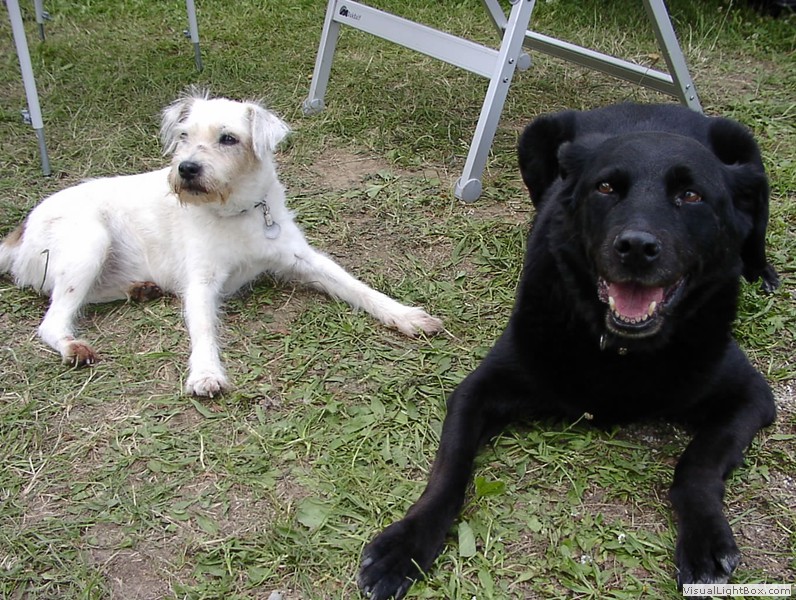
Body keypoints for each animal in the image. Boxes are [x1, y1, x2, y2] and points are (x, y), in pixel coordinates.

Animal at [0, 90, 442, 397]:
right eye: (183, 136)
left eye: (228, 139)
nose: (186, 169)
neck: (238, 211)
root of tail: (18, 232)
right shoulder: (201, 282)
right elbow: (203, 328)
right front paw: (206, 373)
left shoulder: (302, 258)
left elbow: (357, 287)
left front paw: (404, 315)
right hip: (90, 243)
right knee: (53, 319)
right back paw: (72, 345)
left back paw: (139, 289)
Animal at [357, 103, 779, 599]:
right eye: (606, 188)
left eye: (691, 195)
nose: (636, 247)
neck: (621, 351)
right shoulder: (478, 390)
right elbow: (449, 470)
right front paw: (406, 545)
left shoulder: (750, 396)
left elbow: (697, 465)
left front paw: (707, 541)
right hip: (535, 135)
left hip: (746, 146)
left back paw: (761, 269)